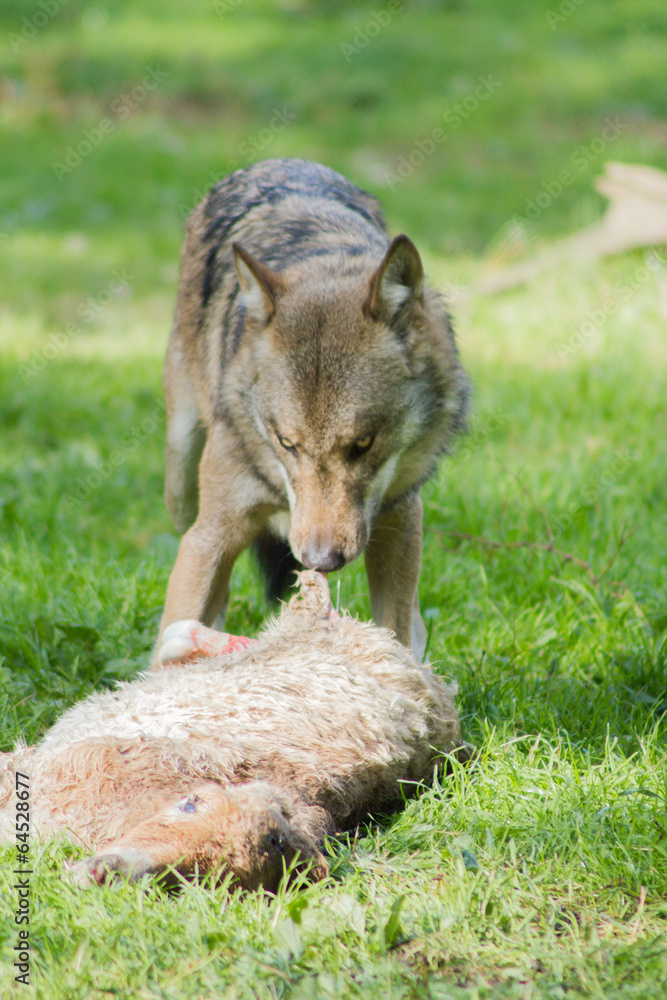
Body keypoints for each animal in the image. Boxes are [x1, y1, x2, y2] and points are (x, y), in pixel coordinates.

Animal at [159, 158, 469, 662]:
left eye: (364, 443)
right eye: (287, 443)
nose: (321, 560)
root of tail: (279, 162)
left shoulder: (399, 519)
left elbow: (396, 628)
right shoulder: (212, 532)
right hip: (182, 477)